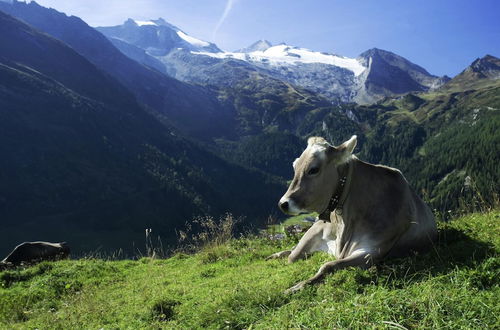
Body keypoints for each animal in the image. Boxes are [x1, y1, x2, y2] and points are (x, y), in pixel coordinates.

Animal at [268, 135, 436, 292]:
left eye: (313, 169)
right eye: (295, 165)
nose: (283, 203)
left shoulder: (372, 250)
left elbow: (328, 266)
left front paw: (297, 286)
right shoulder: (318, 230)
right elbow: (293, 256)